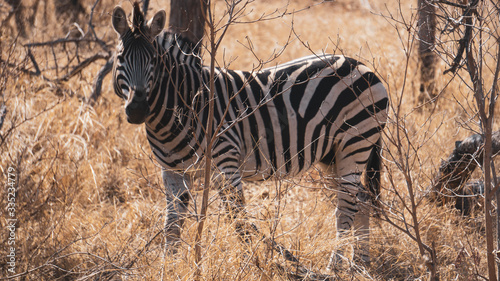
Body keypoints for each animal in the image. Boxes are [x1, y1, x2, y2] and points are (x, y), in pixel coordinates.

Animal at [111, 2, 388, 264]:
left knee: (347, 206)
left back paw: (336, 266)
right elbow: (172, 225)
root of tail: (362, 65)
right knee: (362, 200)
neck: (185, 104)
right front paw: (168, 265)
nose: (137, 110)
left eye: (153, 61)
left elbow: (239, 220)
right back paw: (359, 264)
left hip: (355, 143)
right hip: (332, 155)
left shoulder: (226, 159)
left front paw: (252, 264)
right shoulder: (172, 171)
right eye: (120, 58)